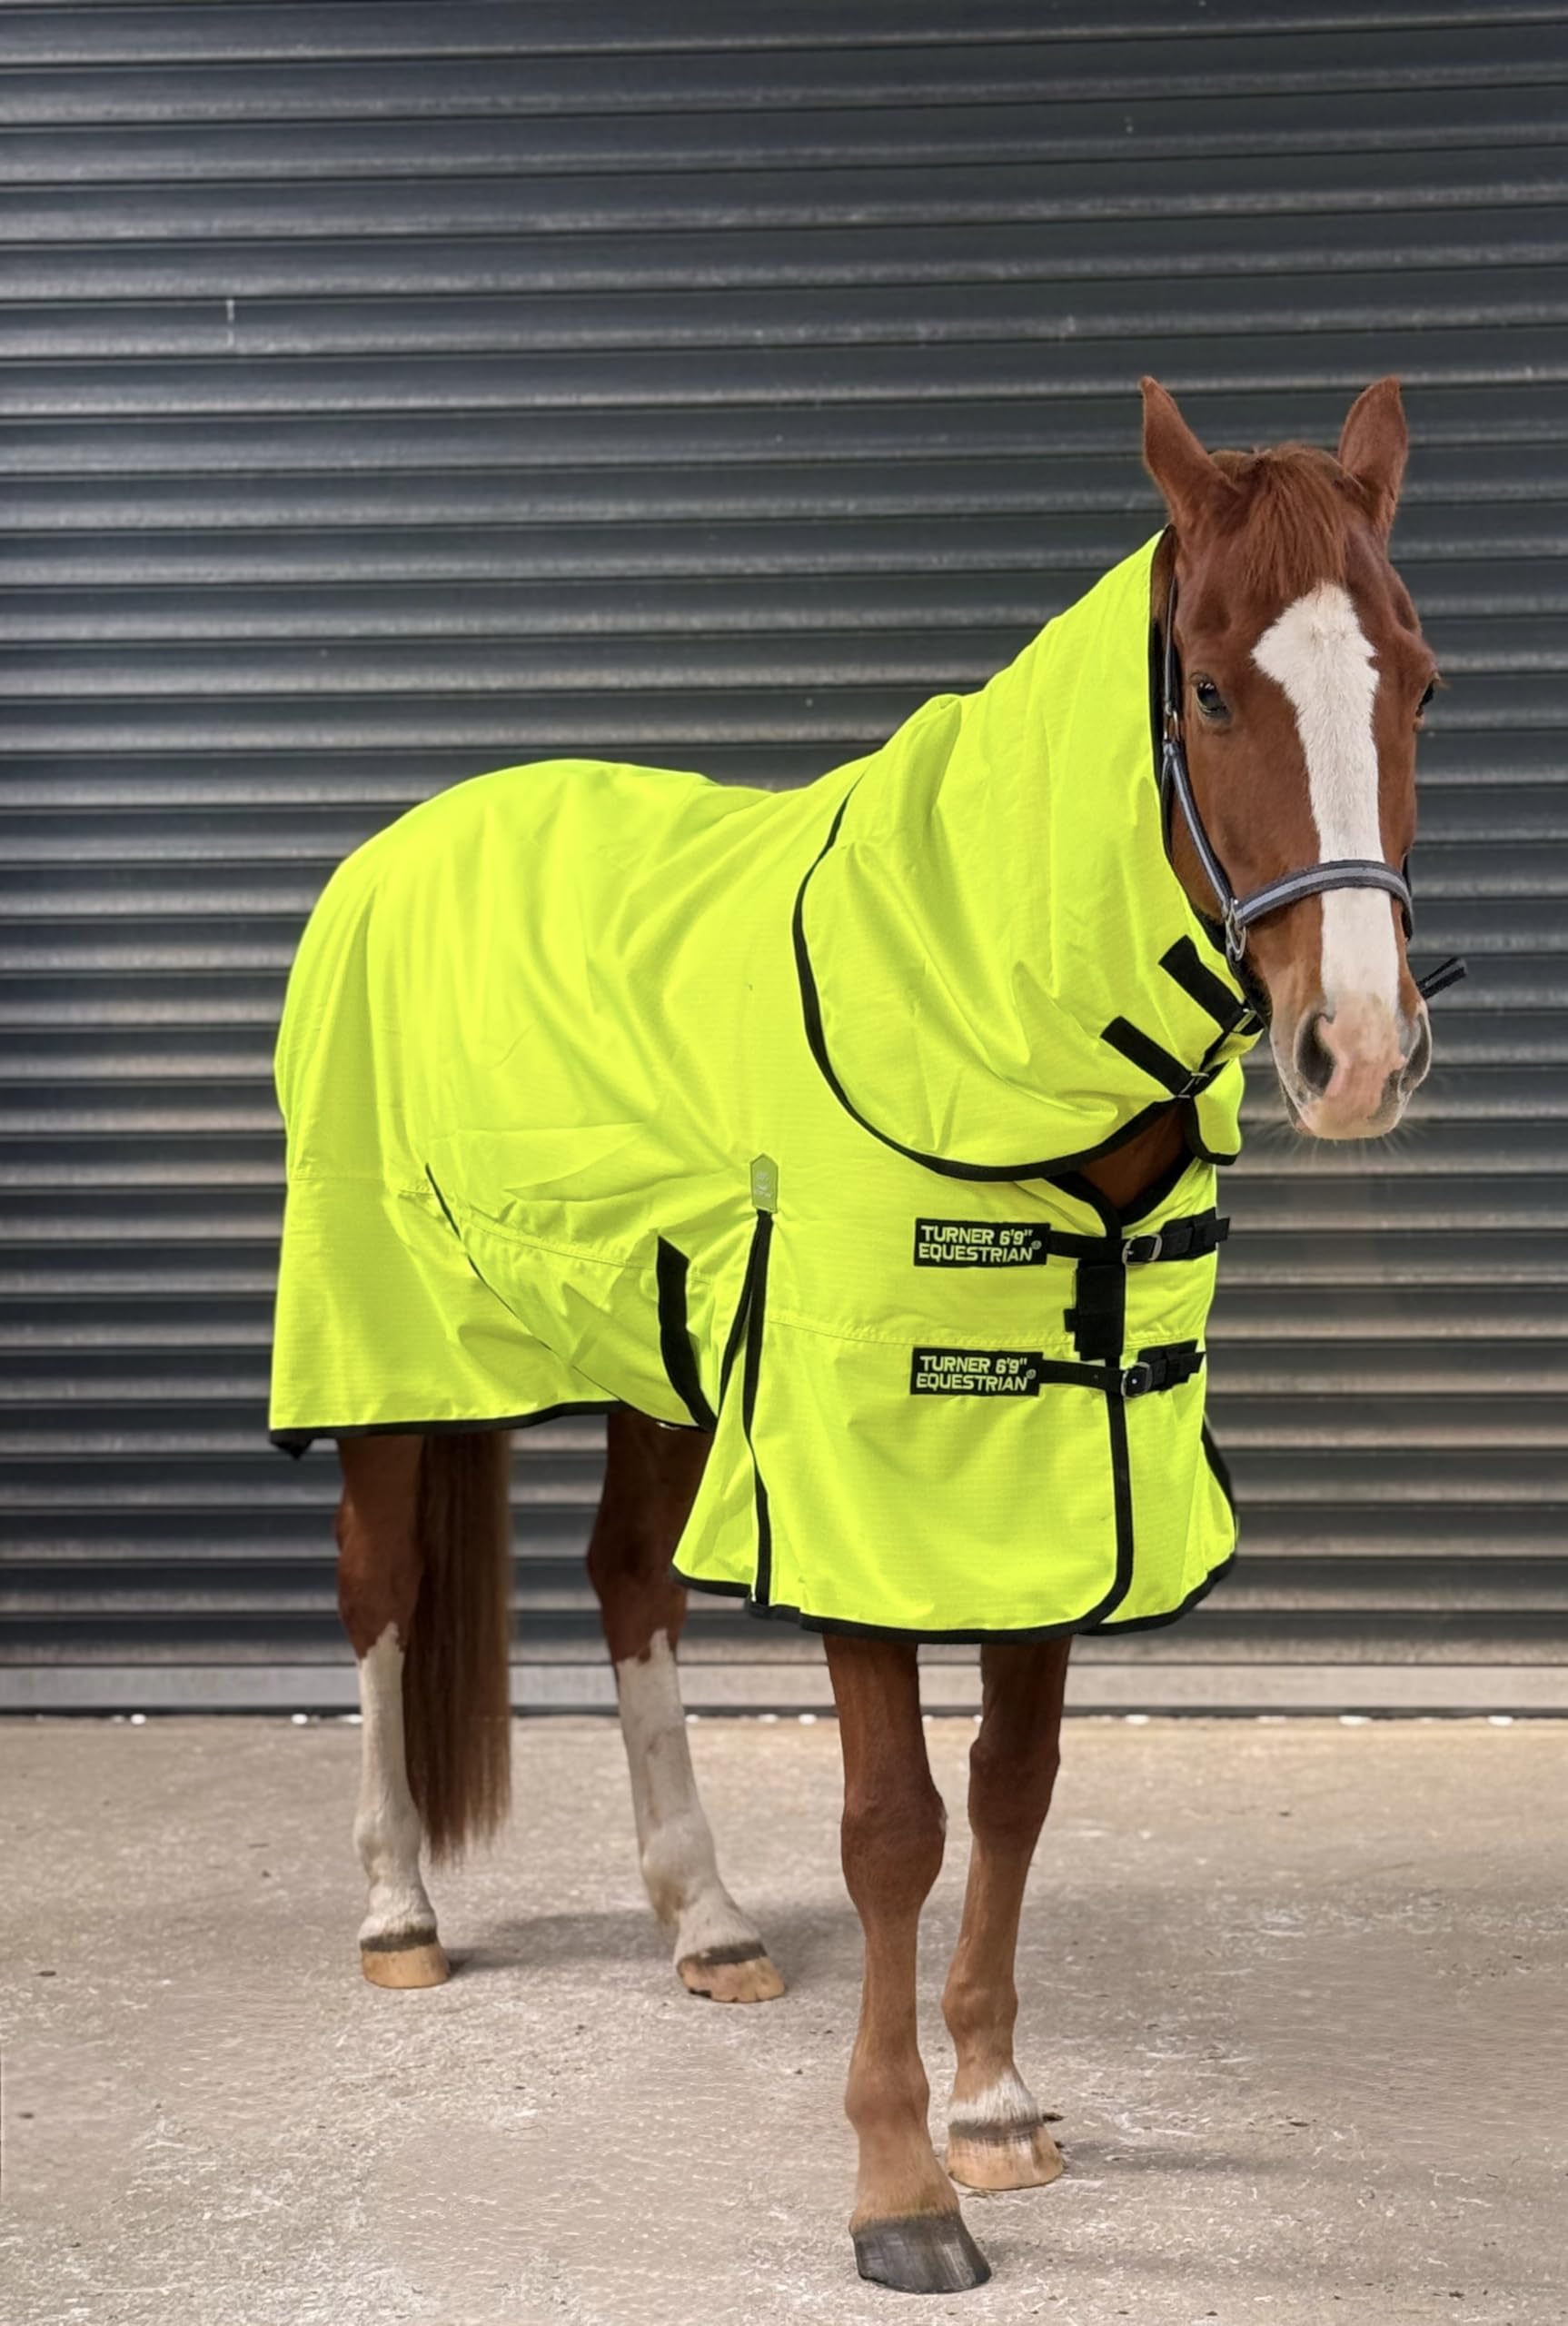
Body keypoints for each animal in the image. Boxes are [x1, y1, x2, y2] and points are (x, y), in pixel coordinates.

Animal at [273, 375, 1449, 2295]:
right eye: (1210, 687)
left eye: (1417, 681)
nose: (1355, 1049)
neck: (986, 1011)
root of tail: (403, 838)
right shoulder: (855, 1476)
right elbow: (898, 1823)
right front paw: (900, 2186)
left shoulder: (1060, 1473)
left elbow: (1016, 1786)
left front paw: (996, 2106)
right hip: (393, 1340)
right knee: (380, 1584)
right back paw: (397, 1911)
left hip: (668, 1348)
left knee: (631, 1580)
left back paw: (707, 1921)